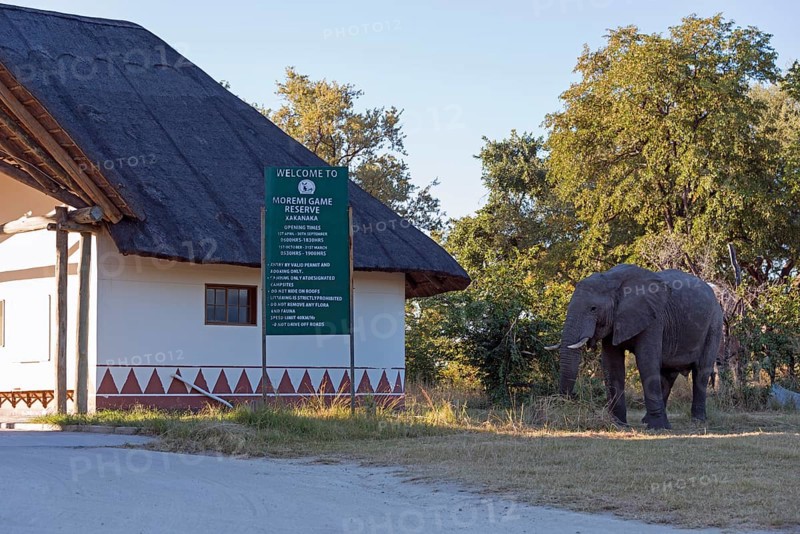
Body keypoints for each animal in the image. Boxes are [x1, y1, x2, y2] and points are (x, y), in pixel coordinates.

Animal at [550, 264, 723, 430]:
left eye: (593, 308)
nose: (570, 399)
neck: (612, 280)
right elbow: (612, 364)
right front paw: (618, 425)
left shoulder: (654, 317)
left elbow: (646, 361)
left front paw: (658, 428)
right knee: (668, 374)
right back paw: (647, 420)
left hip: (714, 323)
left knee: (701, 370)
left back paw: (697, 422)